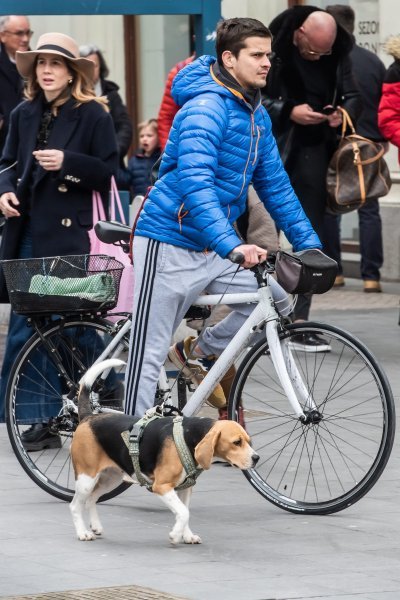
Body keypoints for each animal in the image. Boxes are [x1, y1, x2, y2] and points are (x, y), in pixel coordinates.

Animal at [70, 358, 258, 548]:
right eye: (237, 442)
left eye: (248, 440)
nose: (256, 458)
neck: (188, 436)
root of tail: (88, 417)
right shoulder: (162, 486)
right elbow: (184, 512)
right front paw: (175, 535)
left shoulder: (185, 488)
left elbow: (185, 512)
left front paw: (187, 535)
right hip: (86, 478)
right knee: (75, 505)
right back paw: (82, 533)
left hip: (111, 478)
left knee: (91, 499)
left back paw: (95, 526)